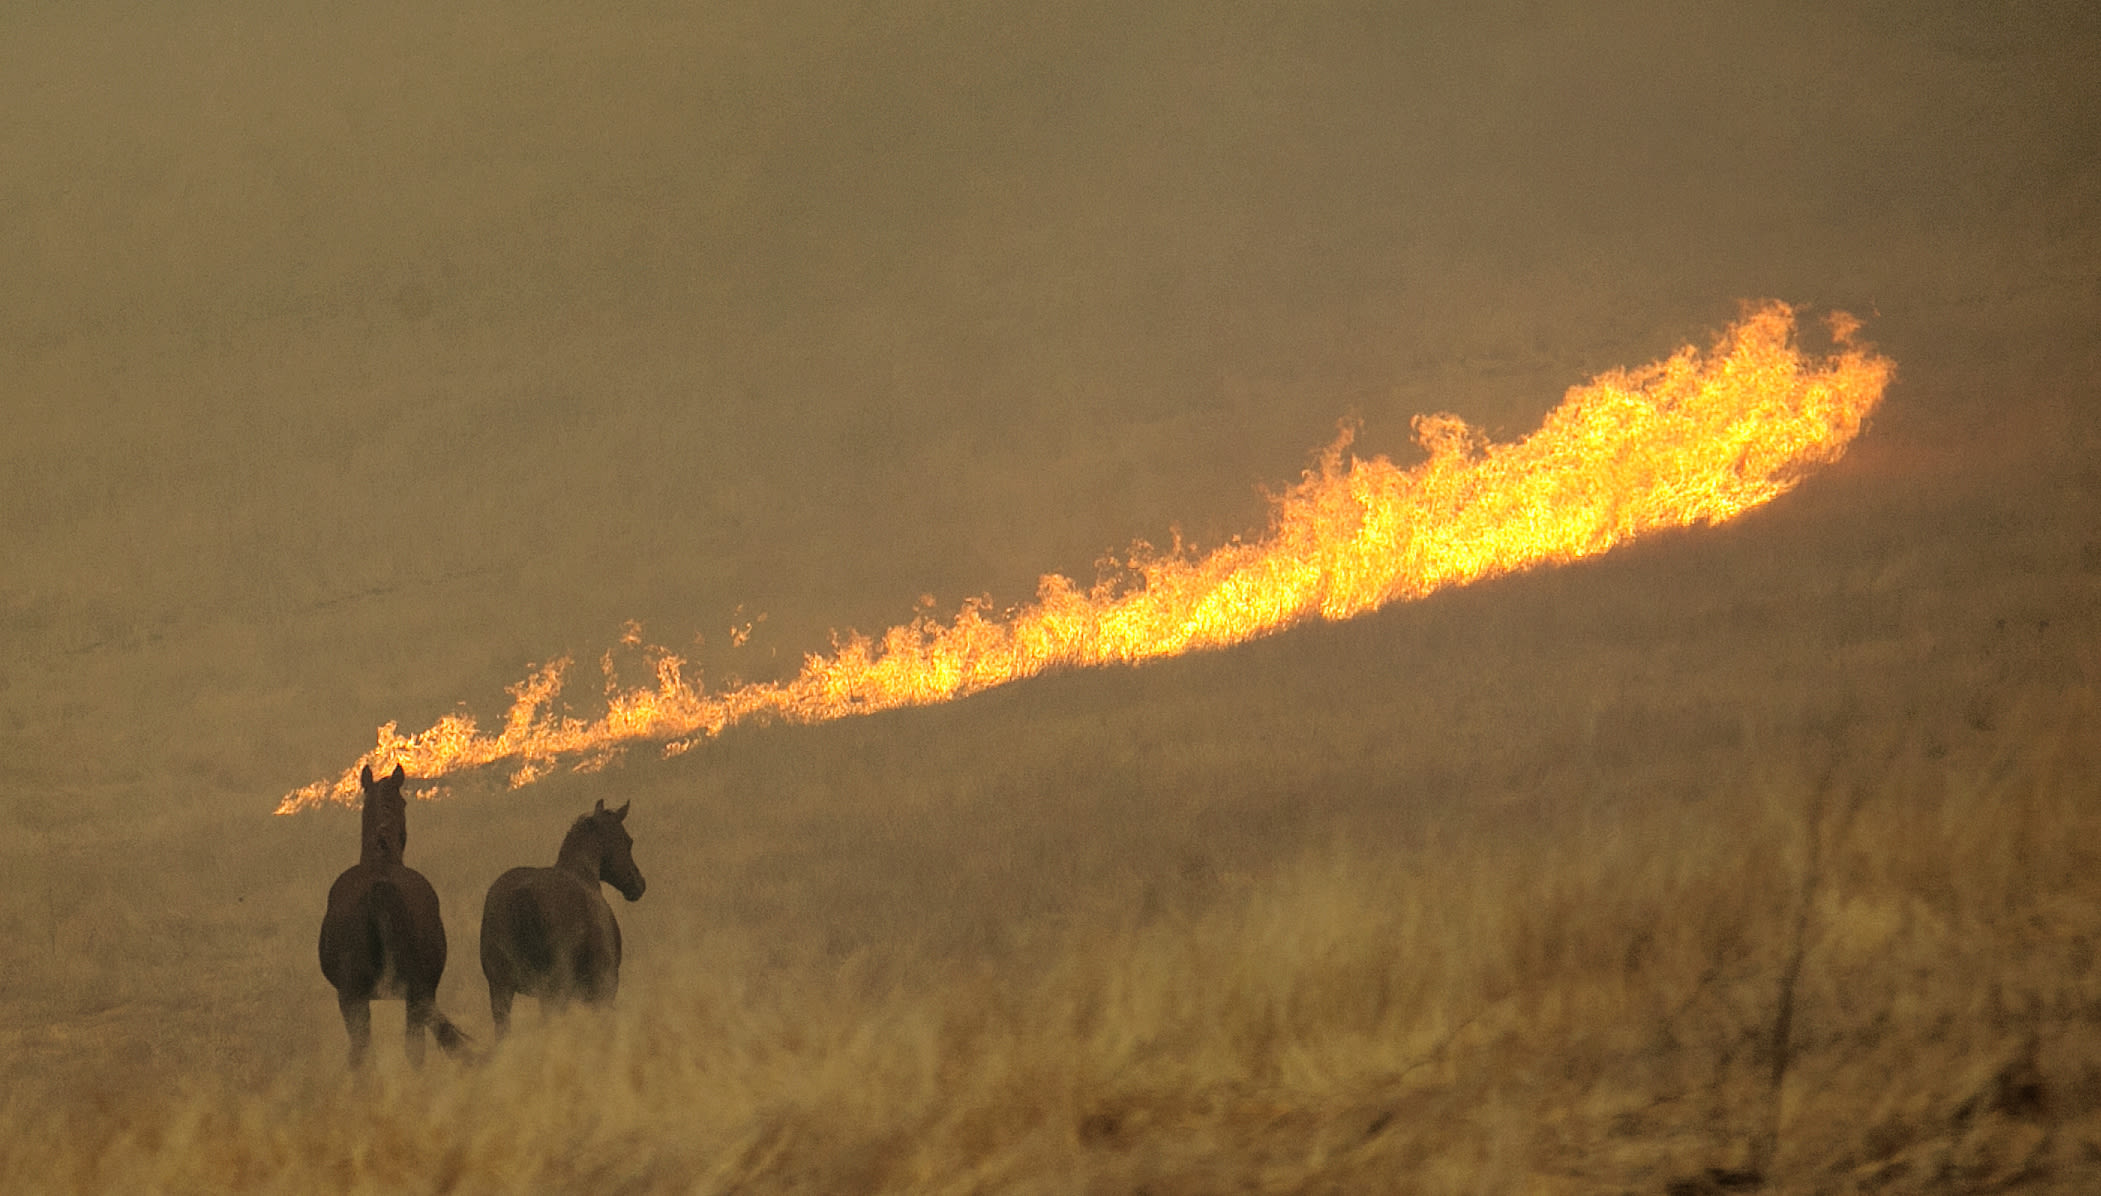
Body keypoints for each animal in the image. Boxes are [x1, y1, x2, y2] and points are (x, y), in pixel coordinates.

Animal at [481, 794, 642, 1034]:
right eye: (628, 841)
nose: (639, 884)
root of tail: (522, 895)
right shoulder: (604, 986)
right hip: (555, 989)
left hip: (502, 989)